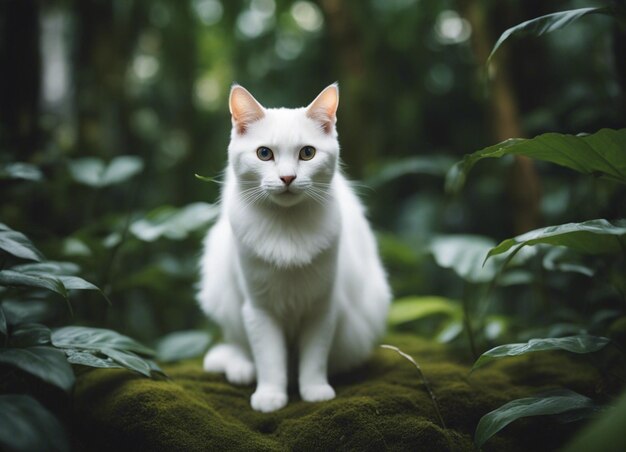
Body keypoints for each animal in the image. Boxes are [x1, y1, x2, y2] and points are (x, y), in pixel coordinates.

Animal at [197, 82, 388, 414]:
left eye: (307, 153)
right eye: (264, 154)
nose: (288, 178)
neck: (287, 230)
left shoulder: (322, 307)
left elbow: (314, 359)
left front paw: (314, 390)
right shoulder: (259, 310)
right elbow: (270, 360)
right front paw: (270, 396)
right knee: (239, 347)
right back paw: (241, 367)